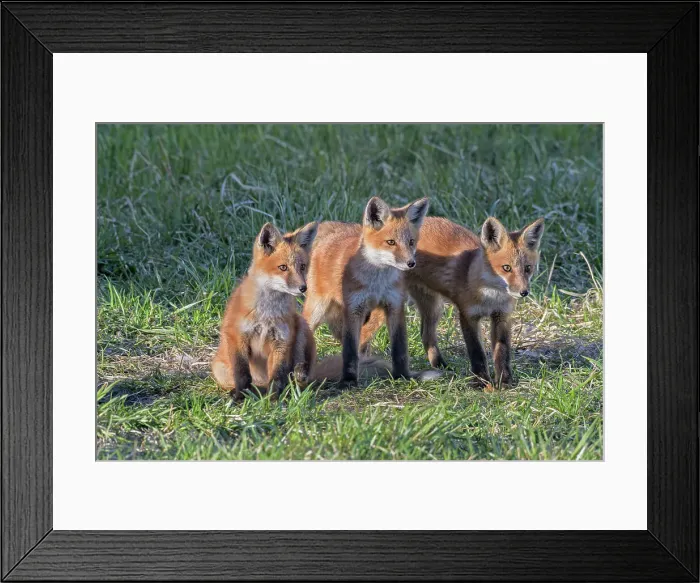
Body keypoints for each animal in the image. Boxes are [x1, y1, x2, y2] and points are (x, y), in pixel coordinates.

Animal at [211, 221, 319, 400]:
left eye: (303, 267)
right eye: (283, 267)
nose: (303, 288)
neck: (267, 313)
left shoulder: (281, 341)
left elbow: (276, 375)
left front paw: (273, 399)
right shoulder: (238, 336)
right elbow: (242, 374)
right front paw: (239, 396)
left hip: (301, 327)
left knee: (299, 377)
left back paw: (297, 379)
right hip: (219, 369)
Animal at [302, 196, 431, 386]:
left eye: (411, 242)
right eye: (391, 242)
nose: (411, 263)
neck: (377, 283)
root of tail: (331, 228)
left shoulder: (394, 305)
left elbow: (399, 350)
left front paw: (402, 376)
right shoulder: (354, 309)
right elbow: (349, 353)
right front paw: (348, 381)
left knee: (363, 345)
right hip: (317, 309)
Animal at [358, 216, 545, 390]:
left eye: (528, 268)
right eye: (506, 268)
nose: (524, 292)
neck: (491, 296)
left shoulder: (502, 316)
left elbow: (502, 353)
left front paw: (504, 381)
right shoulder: (468, 315)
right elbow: (477, 353)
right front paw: (481, 382)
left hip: (433, 307)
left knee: (426, 335)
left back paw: (441, 366)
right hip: (391, 305)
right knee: (363, 333)